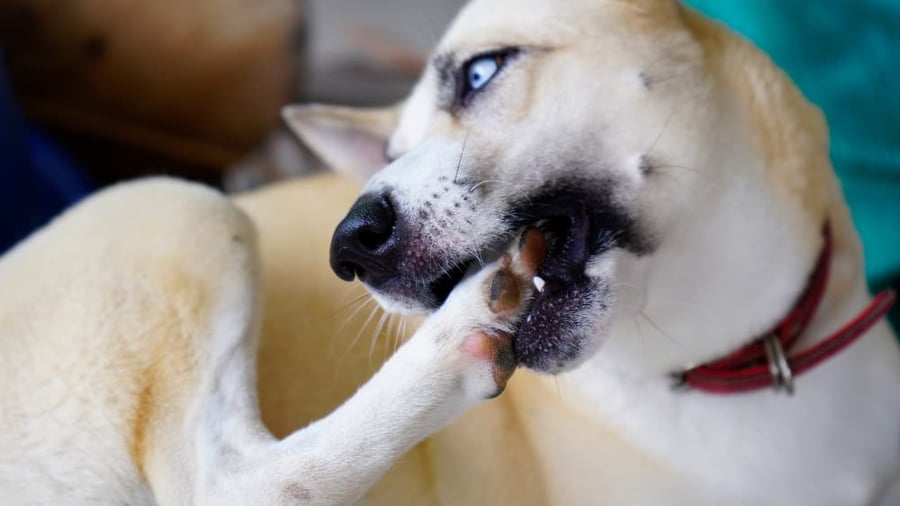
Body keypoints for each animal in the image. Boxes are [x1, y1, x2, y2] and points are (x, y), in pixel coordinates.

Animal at [1, 0, 900, 506]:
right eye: (390, 151)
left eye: (480, 71)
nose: (349, 245)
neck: (747, 358)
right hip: (180, 202)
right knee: (238, 486)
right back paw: (448, 350)